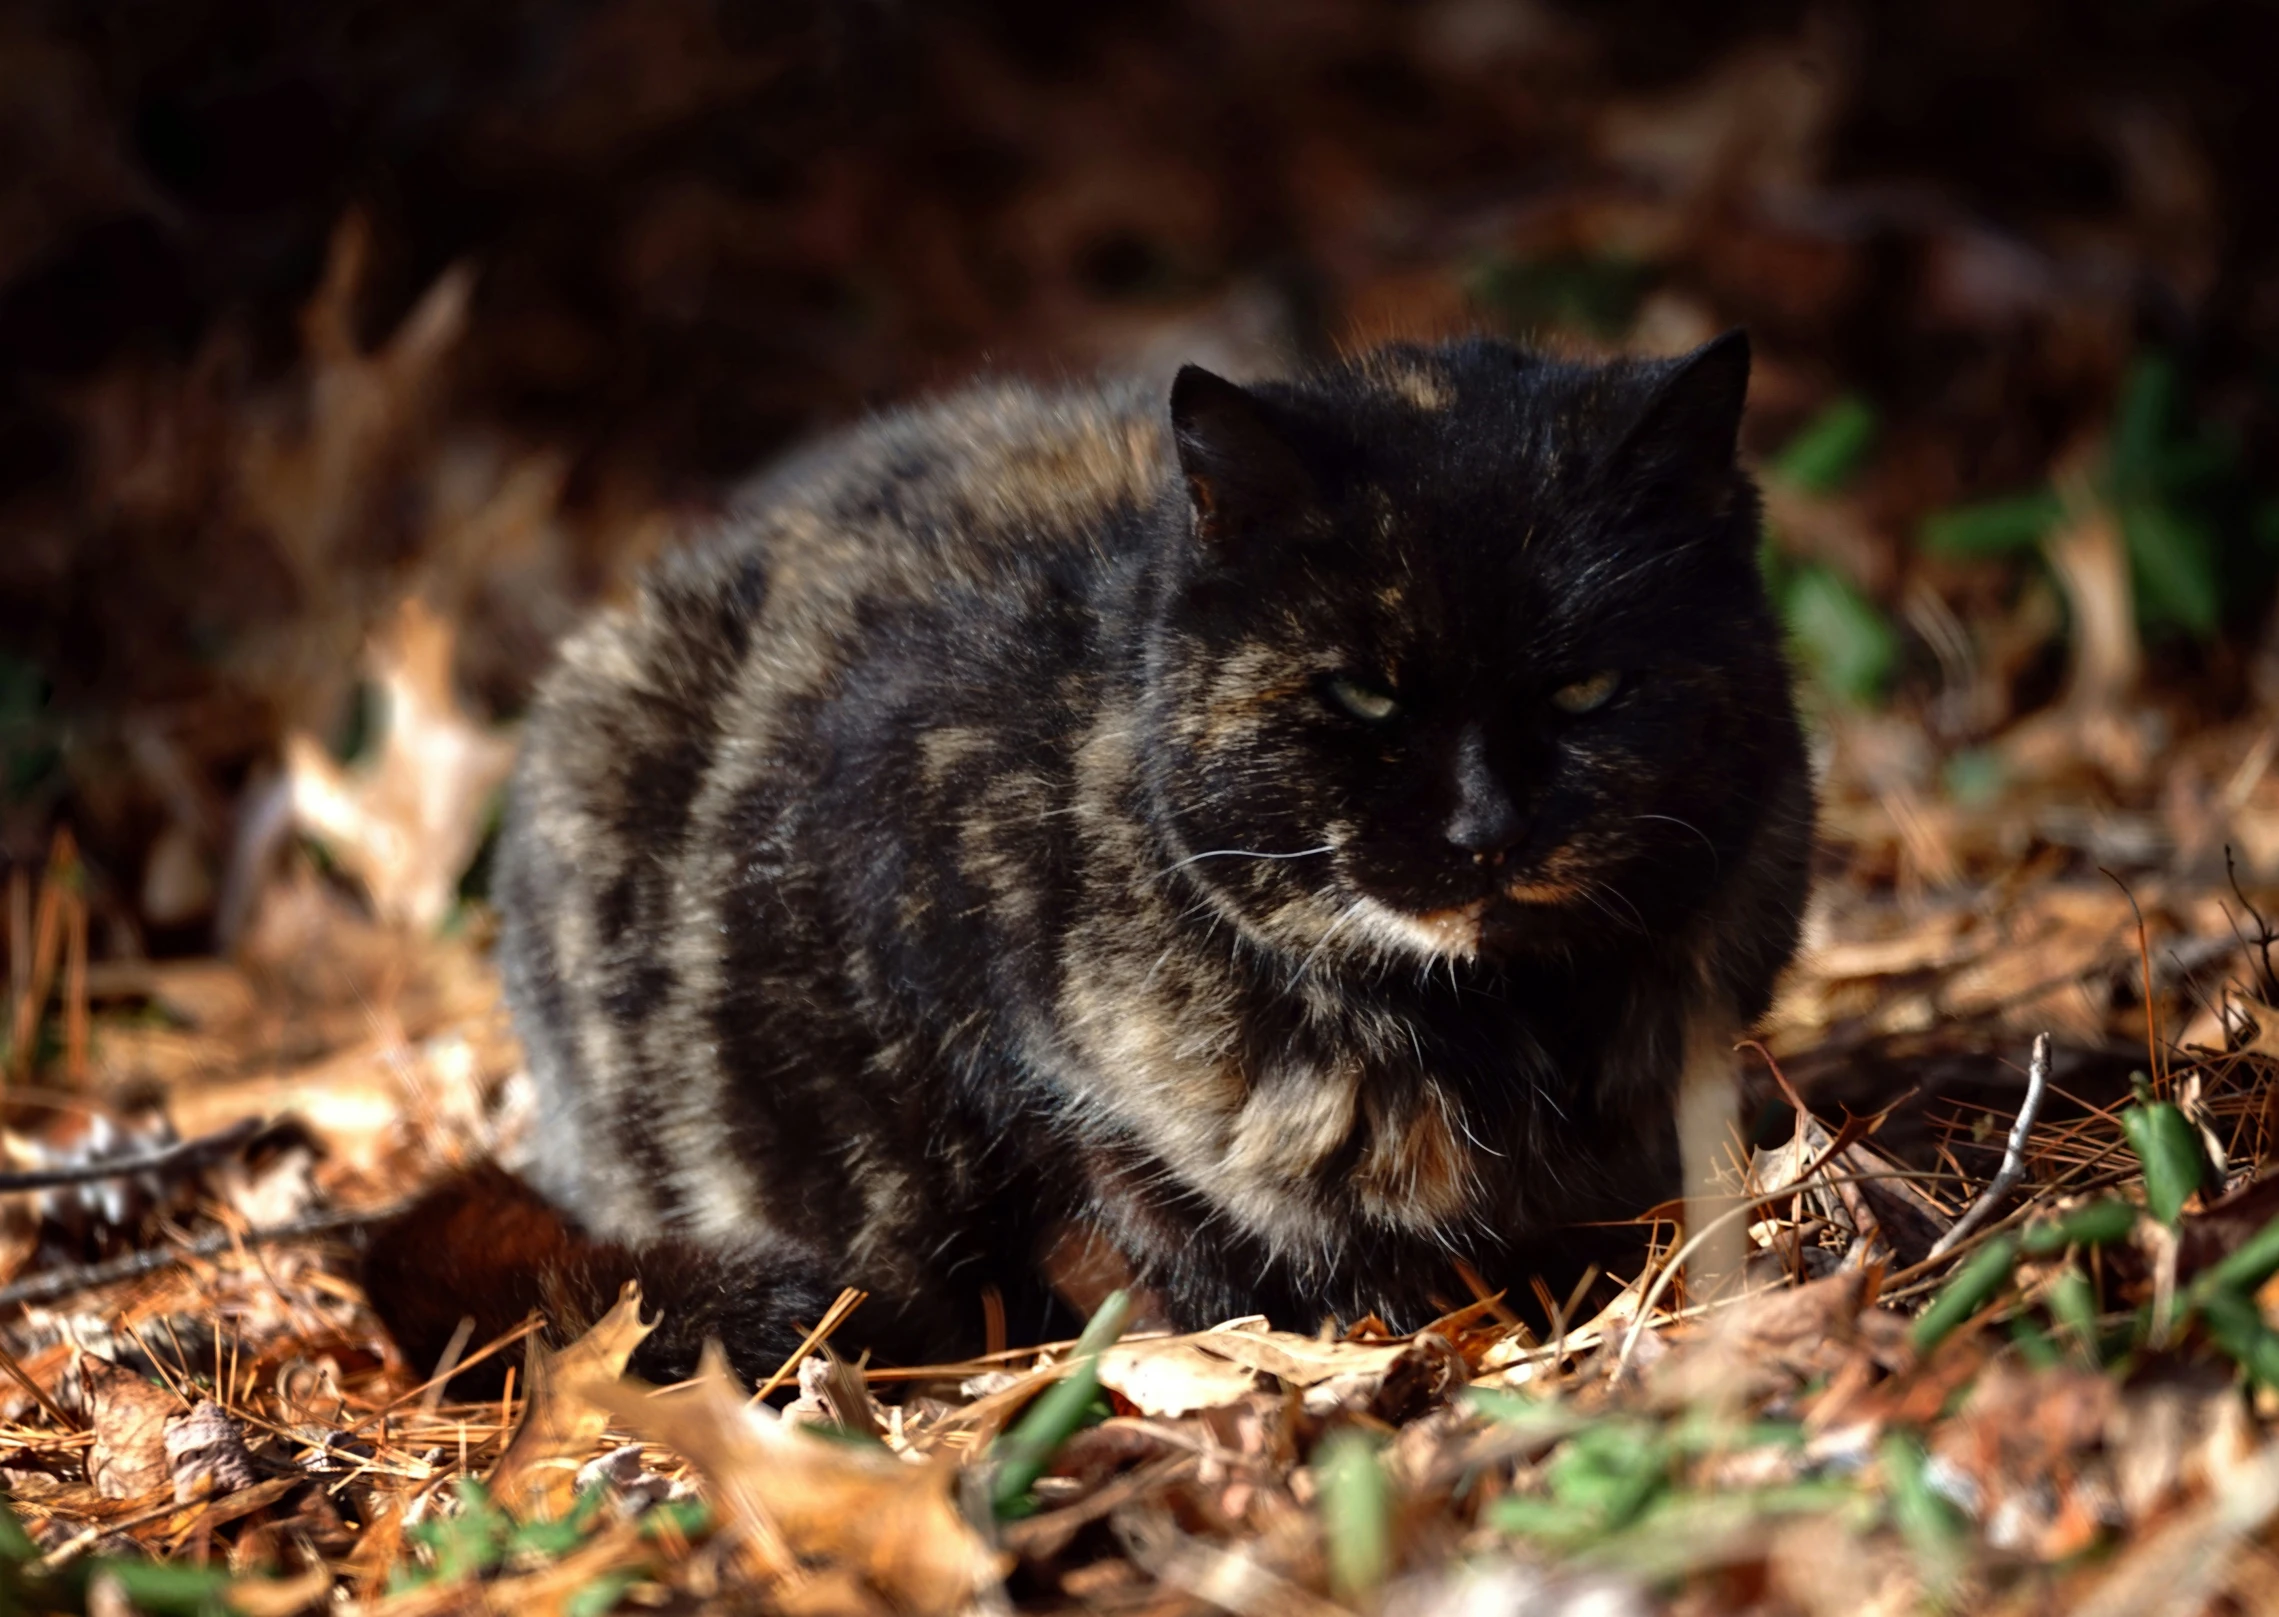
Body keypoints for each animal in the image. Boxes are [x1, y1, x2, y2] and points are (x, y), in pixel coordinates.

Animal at [364, 330, 1804, 1384]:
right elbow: (1140, 1222)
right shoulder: (955, 994)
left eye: (1585, 692)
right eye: (1361, 695)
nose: (1482, 829)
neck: (1495, 1035)